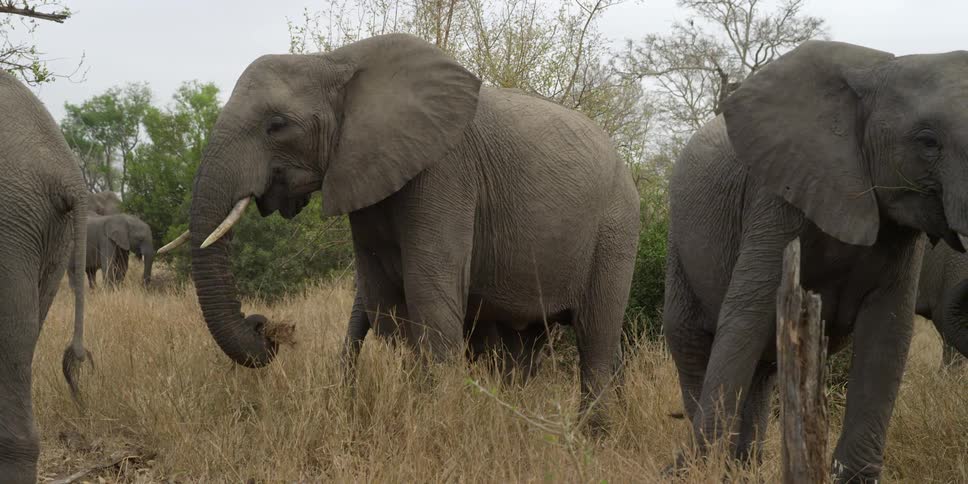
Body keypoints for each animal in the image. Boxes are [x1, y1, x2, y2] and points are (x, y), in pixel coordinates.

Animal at [160, 33, 640, 425]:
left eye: (276, 125)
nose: (266, 326)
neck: (334, 61)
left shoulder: (445, 172)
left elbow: (429, 301)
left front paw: (436, 427)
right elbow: (385, 303)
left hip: (616, 229)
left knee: (595, 336)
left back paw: (591, 438)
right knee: (524, 345)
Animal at [663, 40, 968, 482]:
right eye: (928, 142)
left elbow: (889, 332)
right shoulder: (775, 198)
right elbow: (745, 315)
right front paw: (690, 470)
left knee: (763, 367)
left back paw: (744, 465)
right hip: (679, 240)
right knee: (688, 337)